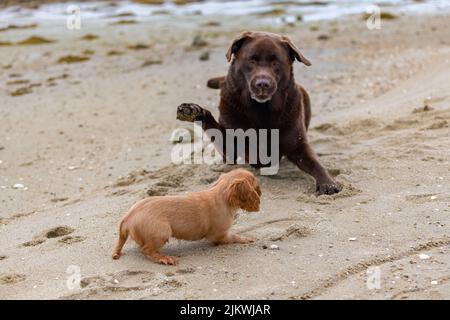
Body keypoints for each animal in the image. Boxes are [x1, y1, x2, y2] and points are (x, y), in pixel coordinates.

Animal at [111, 169, 262, 264]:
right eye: (256, 186)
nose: (261, 194)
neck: (221, 193)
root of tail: (128, 217)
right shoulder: (218, 235)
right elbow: (233, 236)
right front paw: (246, 239)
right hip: (162, 232)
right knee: (146, 250)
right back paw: (164, 258)